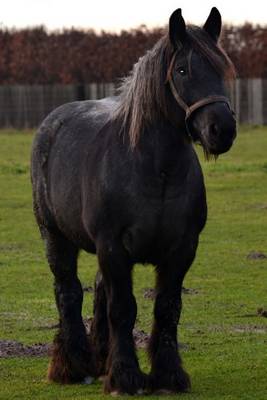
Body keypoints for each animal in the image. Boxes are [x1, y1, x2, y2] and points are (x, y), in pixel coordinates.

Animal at [30, 7, 237, 396]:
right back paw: (74, 365)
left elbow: (167, 308)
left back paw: (100, 358)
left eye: (221, 69)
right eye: (182, 70)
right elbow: (123, 309)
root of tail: (52, 121)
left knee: (97, 290)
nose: (222, 130)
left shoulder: (182, 249)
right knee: (68, 291)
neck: (156, 171)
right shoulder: (113, 247)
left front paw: (168, 375)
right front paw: (126, 377)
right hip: (55, 237)